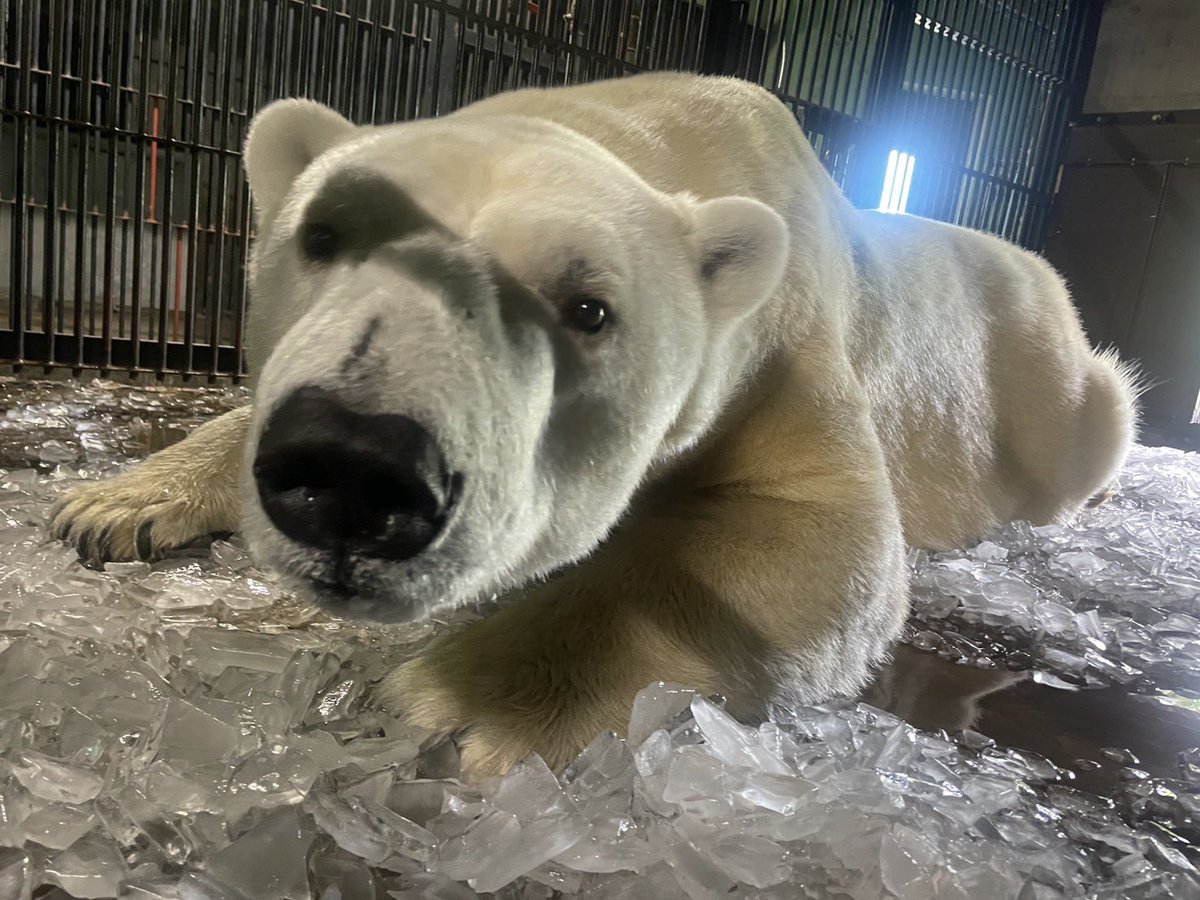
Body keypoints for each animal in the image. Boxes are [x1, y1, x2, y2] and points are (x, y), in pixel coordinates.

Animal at [49, 72, 1138, 776]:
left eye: (589, 309)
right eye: (324, 236)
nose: (359, 471)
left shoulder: (783, 349)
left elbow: (822, 532)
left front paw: (460, 702)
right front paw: (112, 505)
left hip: (1057, 395)